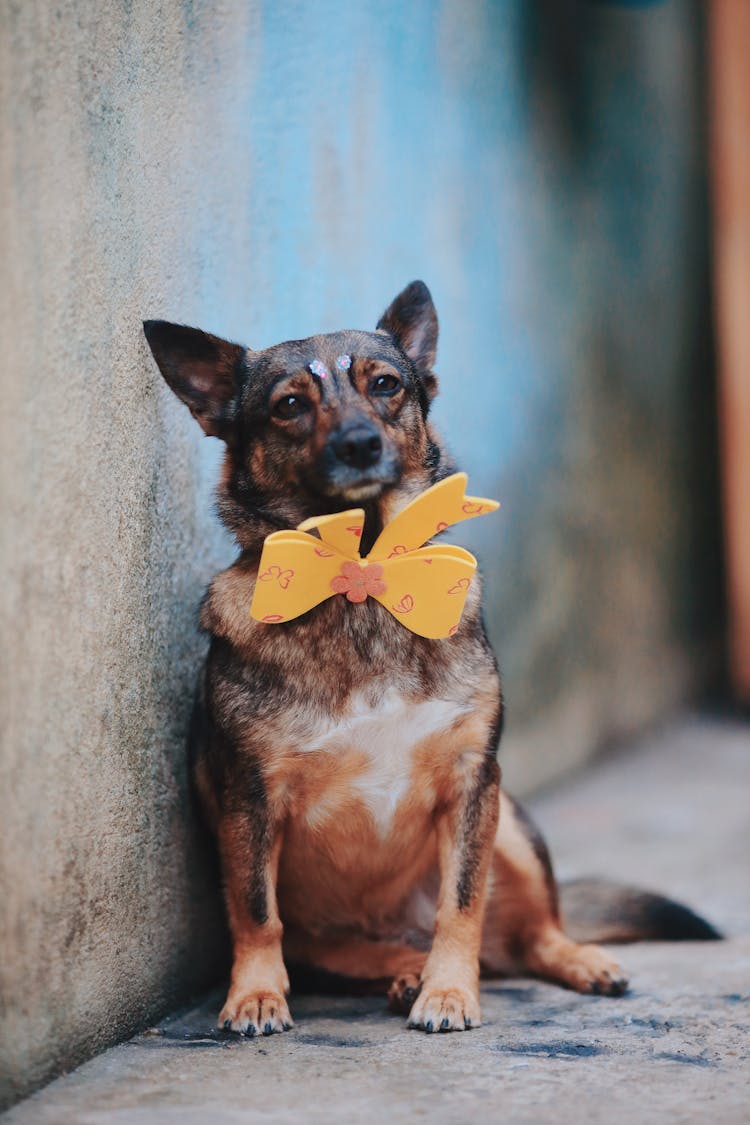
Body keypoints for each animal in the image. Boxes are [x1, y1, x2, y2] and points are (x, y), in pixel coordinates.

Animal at [142, 281, 719, 1035]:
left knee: (537, 931)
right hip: (339, 938)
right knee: (388, 950)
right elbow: (256, 911)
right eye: (290, 404)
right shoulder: (250, 800)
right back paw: (402, 973)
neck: (361, 576)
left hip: (512, 828)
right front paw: (256, 993)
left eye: (385, 385)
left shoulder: (472, 782)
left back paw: (569, 960)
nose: (360, 443)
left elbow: (462, 901)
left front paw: (449, 992)